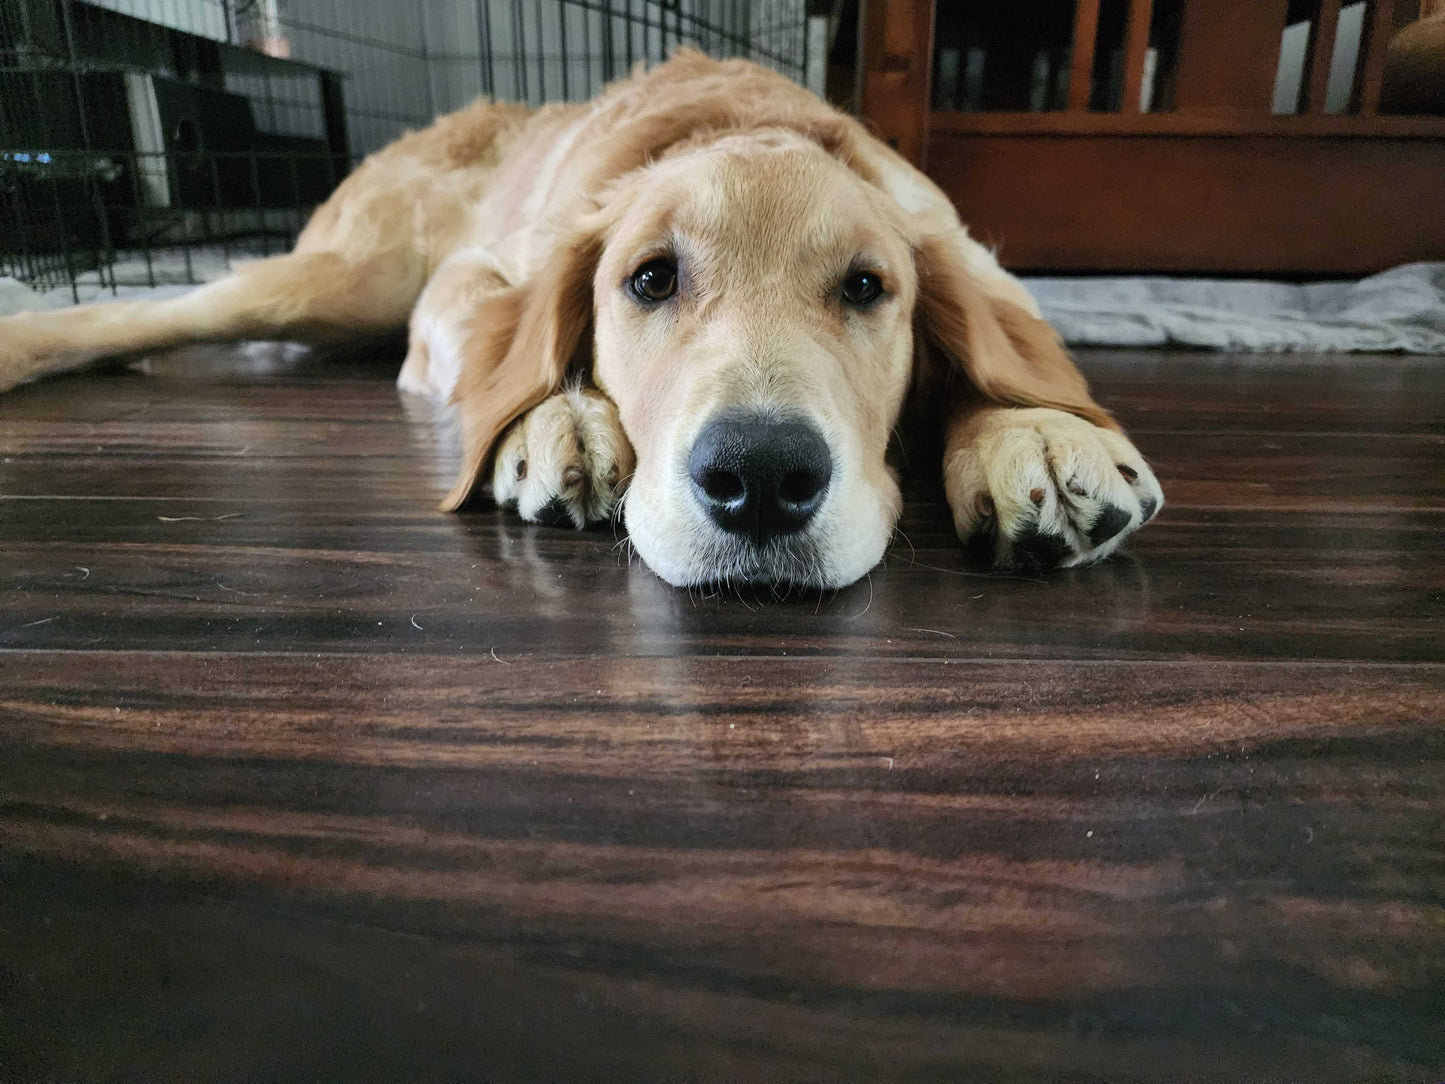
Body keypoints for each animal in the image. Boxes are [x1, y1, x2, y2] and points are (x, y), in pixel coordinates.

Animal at [0, 50, 1156, 589]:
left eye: (867, 289)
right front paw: (557, 421)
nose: (760, 479)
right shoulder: (464, 288)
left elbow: (993, 365)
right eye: (648, 280)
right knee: (168, 309)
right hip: (357, 277)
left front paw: (1034, 433)